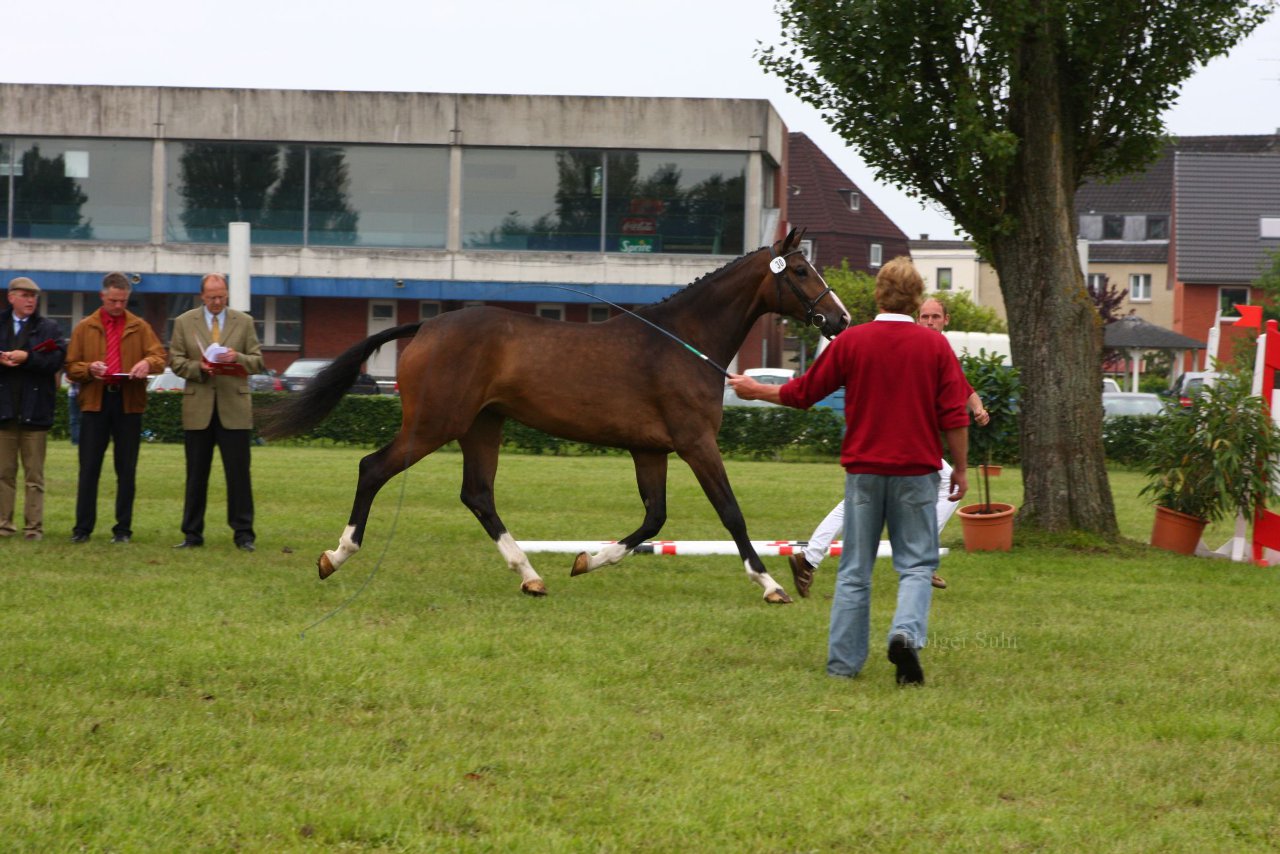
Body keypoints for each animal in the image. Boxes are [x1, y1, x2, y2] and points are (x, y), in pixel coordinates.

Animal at [261, 226, 849, 601]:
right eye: (800, 269)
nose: (840, 319)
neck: (682, 342)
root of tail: (426, 325)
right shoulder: (695, 443)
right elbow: (730, 513)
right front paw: (771, 585)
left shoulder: (650, 450)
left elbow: (654, 518)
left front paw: (586, 560)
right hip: (434, 425)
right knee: (373, 469)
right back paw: (336, 556)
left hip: (482, 426)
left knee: (477, 495)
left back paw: (530, 575)